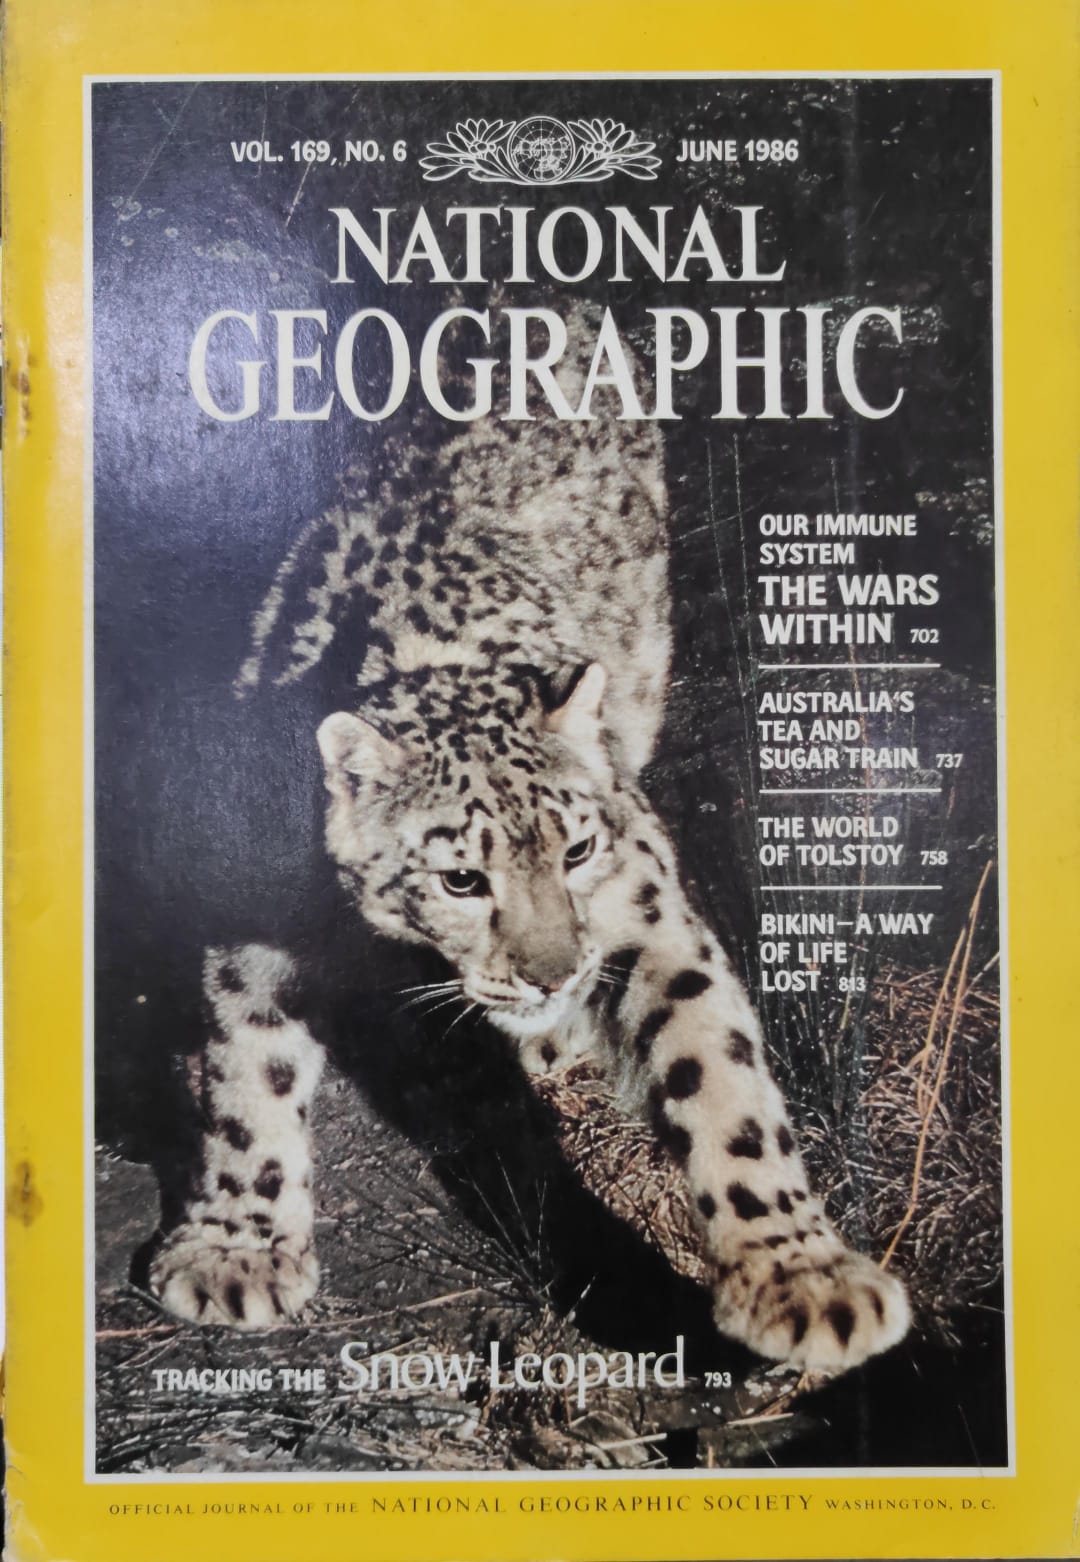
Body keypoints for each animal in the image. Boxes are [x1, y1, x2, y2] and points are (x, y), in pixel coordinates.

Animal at [147, 305, 910, 1375]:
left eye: (578, 852)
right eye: (462, 878)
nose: (554, 972)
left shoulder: (644, 910)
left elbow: (718, 1071)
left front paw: (803, 1278)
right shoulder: (254, 922)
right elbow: (245, 1073)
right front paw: (237, 1250)